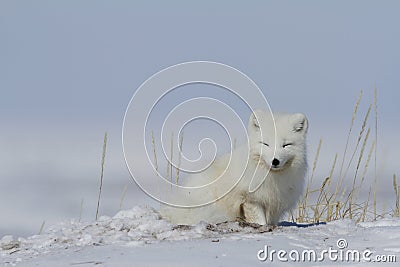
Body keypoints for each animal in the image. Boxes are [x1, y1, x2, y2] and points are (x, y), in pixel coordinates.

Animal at [161, 110, 308, 226]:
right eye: (265, 144)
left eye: (286, 145)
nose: (275, 161)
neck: (271, 177)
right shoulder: (250, 199)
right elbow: (260, 221)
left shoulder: (276, 202)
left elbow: (271, 221)